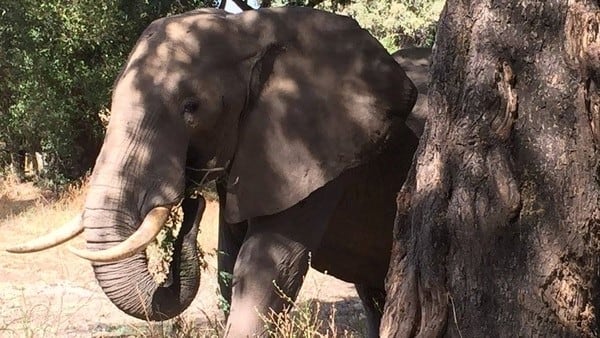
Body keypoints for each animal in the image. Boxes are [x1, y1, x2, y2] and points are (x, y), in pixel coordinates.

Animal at [10, 7, 422, 338]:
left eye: (192, 107)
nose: (192, 205)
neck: (253, 29)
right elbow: (229, 258)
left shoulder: (317, 153)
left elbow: (265, 271)